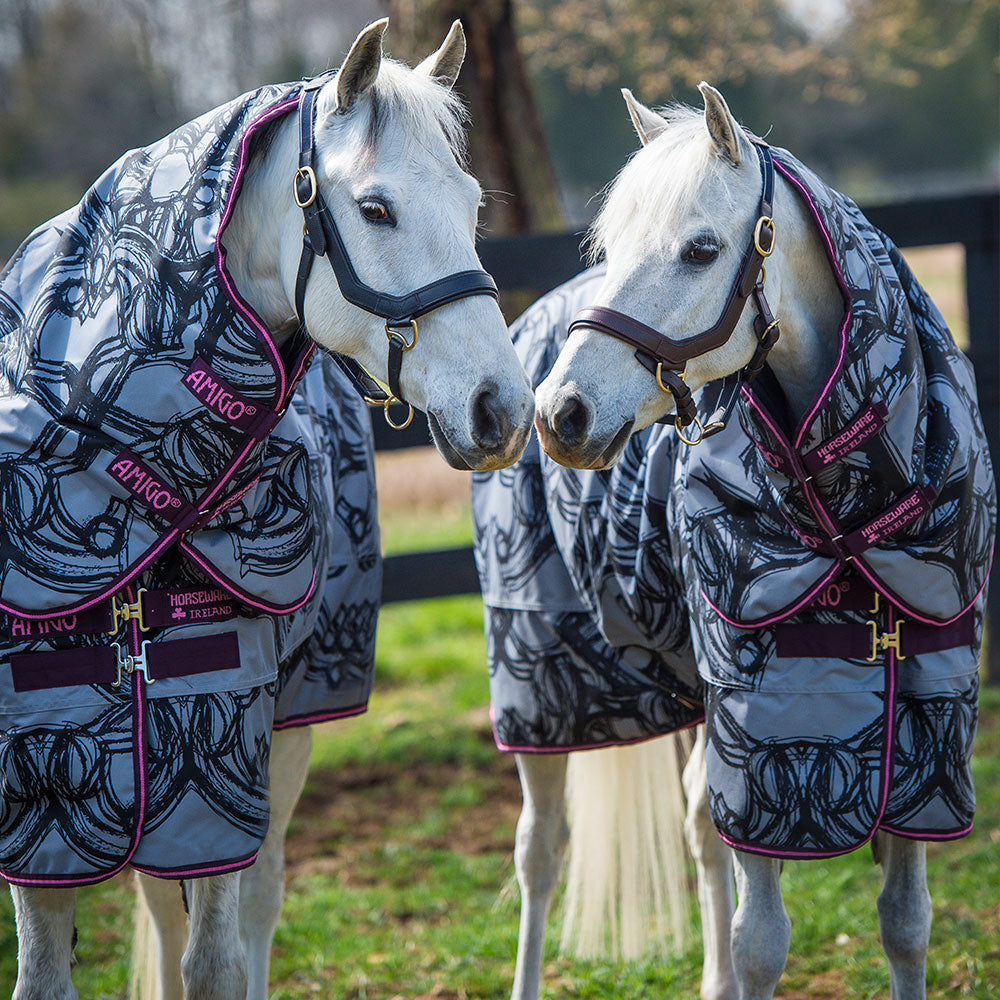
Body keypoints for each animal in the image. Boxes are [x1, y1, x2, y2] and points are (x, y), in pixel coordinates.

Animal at [9, 17, 540, 1000]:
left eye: (470, 204)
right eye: (376, 209)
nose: (504, 410)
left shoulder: (221, 740)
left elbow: (218, 957)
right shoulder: (37, 789)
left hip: (280, 740)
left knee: (255, 906)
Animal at [496, 82, 988, 996]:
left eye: (700, 249)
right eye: (612, 246)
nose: (559, 413)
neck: (850, 515)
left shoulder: (924, 734)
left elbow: (906, 923)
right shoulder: (759, 742)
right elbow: (763, 940)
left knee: (697, 826)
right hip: (542, 680)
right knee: (540, 852)